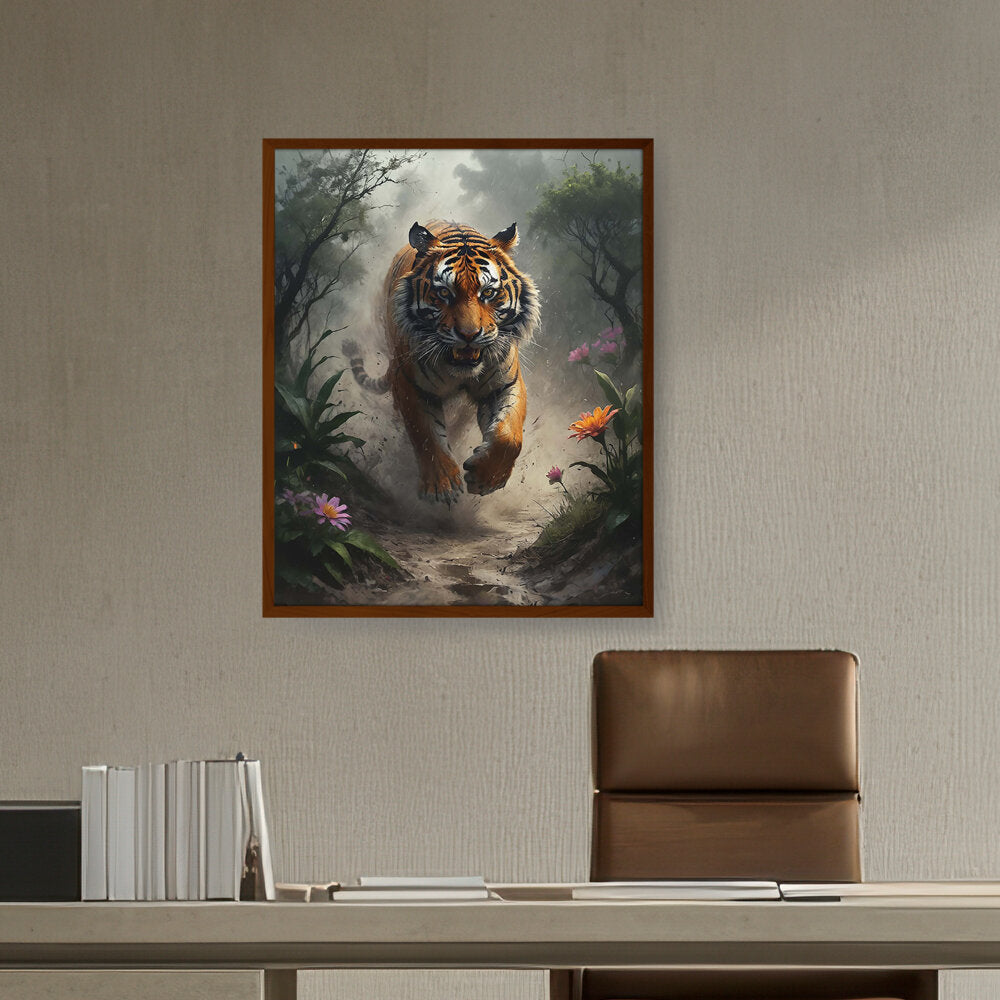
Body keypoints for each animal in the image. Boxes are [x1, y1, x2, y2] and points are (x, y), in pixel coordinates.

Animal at [344, 220, 539, 505]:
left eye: (488, 293)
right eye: (444, 292)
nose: (469, 335)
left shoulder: (504, 385)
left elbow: (509, 436)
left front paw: (486, 478)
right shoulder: (411, 385)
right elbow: (425, 433)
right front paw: (441, 485)